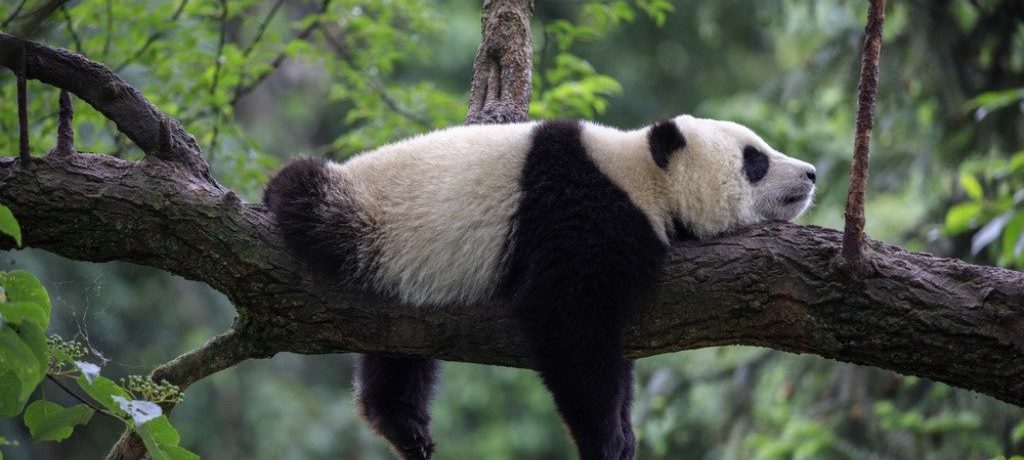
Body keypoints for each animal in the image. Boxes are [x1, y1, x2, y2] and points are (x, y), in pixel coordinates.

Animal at [264, 114, 815, 458]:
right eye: (755, 159)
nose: (810, 173)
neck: (641, 176)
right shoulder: (578, 215)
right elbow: (567, 323)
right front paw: (607, 440)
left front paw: (624, 431)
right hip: (371, 219)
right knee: (310, 199)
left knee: (399, 350)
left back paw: (403, 426)